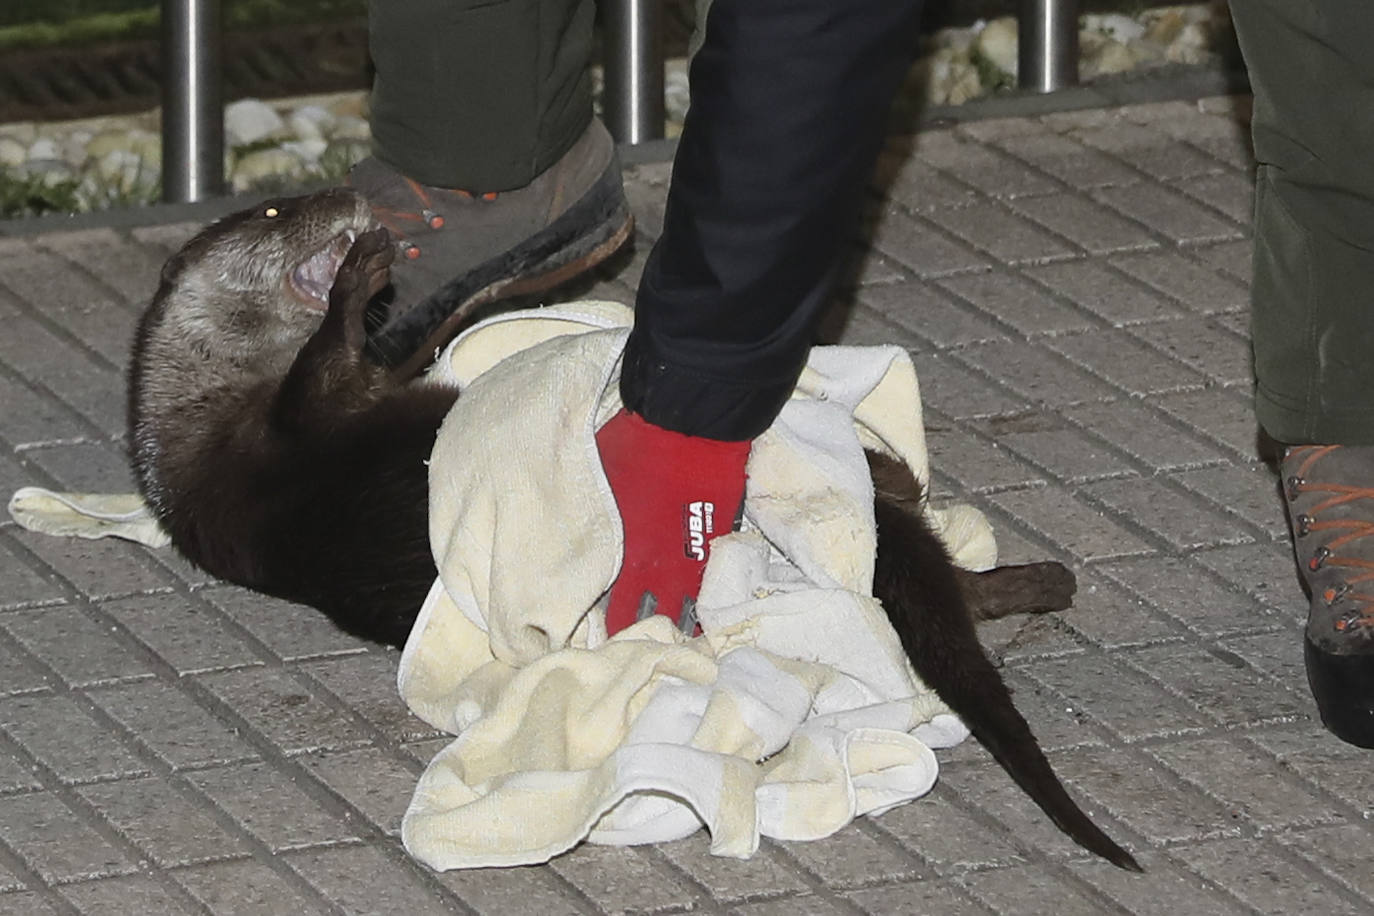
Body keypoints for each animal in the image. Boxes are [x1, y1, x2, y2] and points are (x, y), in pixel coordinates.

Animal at [126, 188, 1137, 873]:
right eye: (274, 208)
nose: (348, 199)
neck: (205, 415)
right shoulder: (282, 434)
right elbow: (328, 360)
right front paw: (361, 271)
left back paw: (1013, 559)